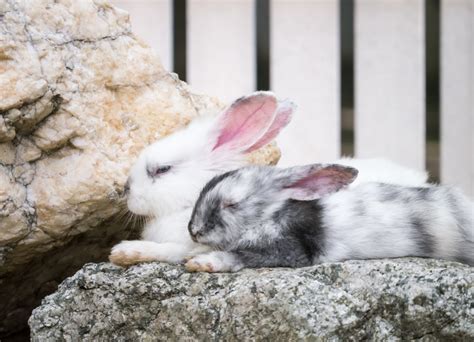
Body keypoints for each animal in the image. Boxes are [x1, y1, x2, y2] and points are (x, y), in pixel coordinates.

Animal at [186, 164, 474, 272]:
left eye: (231, 204)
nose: (194, 230)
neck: (270, 215)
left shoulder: (289, 251)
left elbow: (240, 256)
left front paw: (202, 263)